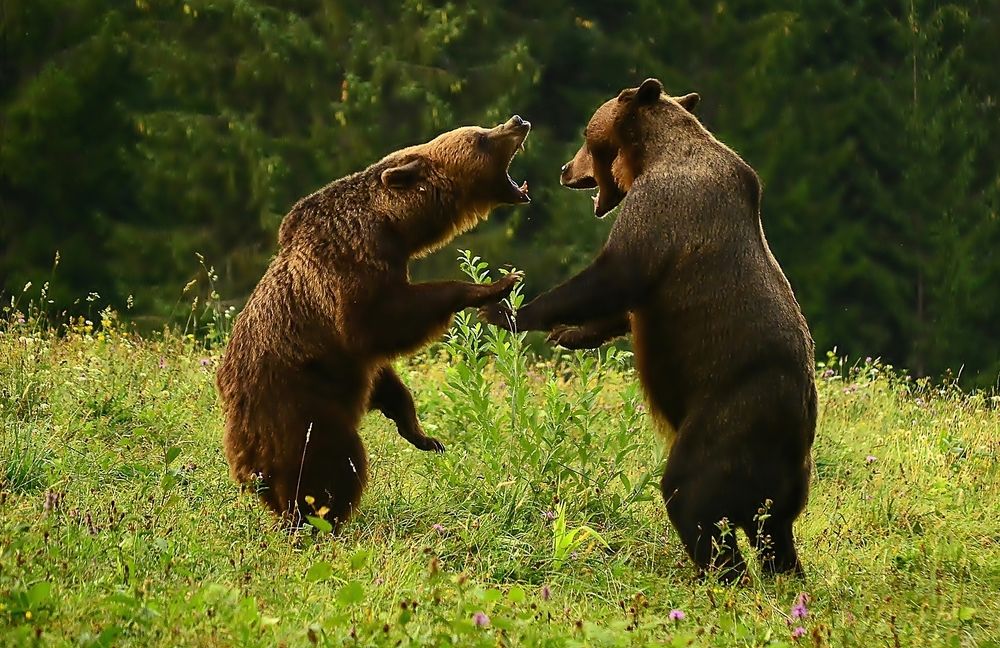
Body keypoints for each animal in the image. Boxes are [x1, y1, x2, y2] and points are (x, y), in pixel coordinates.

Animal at [217, 115, 532, 528]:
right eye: (480, 138)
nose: (518, 121)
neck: (394, 226)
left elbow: (386, 378)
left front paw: (423, 435)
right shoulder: (351, 270)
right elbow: (384, 321)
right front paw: (496, 285)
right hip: (297, 411)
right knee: (330, 465)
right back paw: (318, 520)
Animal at [481, 79, 816, 582]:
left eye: (586, 135)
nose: (564, 169)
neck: (653, 154)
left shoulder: (666, 209)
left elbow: (616, 274)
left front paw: (510, 311)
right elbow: (624, 304)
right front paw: (571, 334)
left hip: (731, 411)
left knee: (693, 493)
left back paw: (719, 574)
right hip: (785, 475)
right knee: (775, 533)